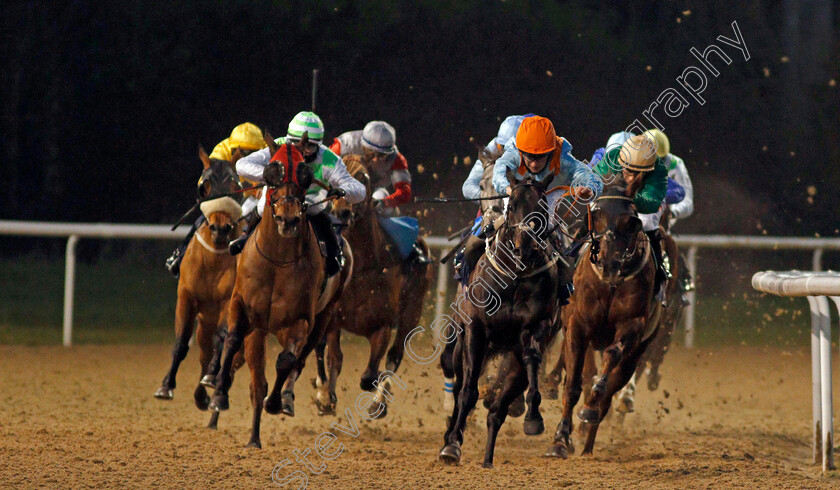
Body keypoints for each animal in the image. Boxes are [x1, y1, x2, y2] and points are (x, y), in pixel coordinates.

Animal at [153, 146, 243, 428]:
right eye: (205, 185)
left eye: (235, 185)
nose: (221, 227)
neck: (213, 257)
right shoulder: (187, 296)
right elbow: (182, 342)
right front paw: (166, 386)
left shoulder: (229, 301)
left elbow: (221, 339)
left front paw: (212, 381)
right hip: (204, 322)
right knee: (204, 353)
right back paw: (202, 396)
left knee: (230, 361)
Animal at [213, 133, 354, 448]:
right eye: (272, 170)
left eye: (305, 175)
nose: (287, 219)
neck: (278, 260)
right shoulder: (243, 308)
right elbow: (233, 341)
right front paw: (219, 393)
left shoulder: (299, 320)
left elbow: (287, 361)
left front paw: (277, 401)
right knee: (254, 374)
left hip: (324, 317)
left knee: (301, 358)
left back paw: (288, 399)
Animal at [316, 158, 434, 418]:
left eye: (363, 178)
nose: (342, 211)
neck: (361, 267)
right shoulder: (333, 321)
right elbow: (334, 358)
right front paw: (327, 398)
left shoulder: (383, 325)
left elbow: (370, 374)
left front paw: (375, 392)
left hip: (412, 312)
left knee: (395, 356)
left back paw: (379, 401)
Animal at [440, 170, 564, 468]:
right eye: (512, 206)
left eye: (542, 206)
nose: (525, 245)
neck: (515, 277)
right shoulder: (476, 331)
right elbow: (468, 392)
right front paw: (452, 446)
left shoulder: (536, 328)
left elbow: (531, 360)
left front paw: (533, 416)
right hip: (461, 347)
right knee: (460, 386)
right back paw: (452, 435)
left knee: (498, 410)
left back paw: (488, 457)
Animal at [544, 187, 664, 460]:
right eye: (595, 215)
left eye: (631, 221)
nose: (608, 263)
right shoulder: (577, 326)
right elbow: (573, 385)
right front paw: (559, 440)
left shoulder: (633, 326)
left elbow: (611, 360)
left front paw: (590, 406)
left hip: (638, 353)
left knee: (609, 395)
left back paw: (589, 443)